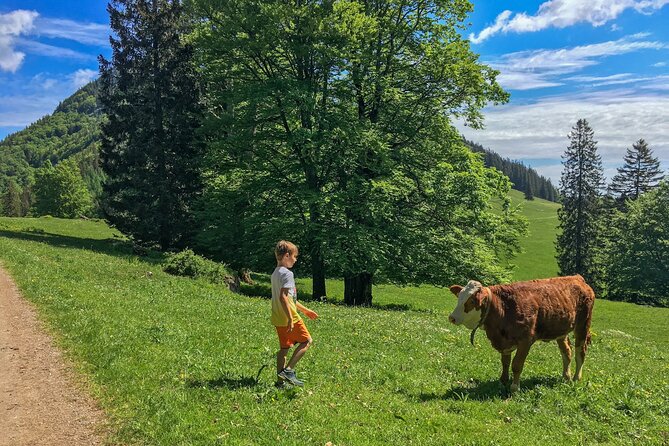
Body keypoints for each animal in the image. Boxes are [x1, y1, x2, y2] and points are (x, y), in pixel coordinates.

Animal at [448, 276, 596, 390]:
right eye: (459, 298)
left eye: (472, 301)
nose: (452, 318)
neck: (504, 307)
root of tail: (577, 277)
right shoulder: (505, 342)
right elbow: (505, 362)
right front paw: (503, 381)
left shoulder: (526, 340)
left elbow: (516, 365)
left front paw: (514, 387)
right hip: (561, 331)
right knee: (567, 352)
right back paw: (566, 376)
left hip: (583, 326)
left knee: (580, 352)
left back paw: (576, 378)